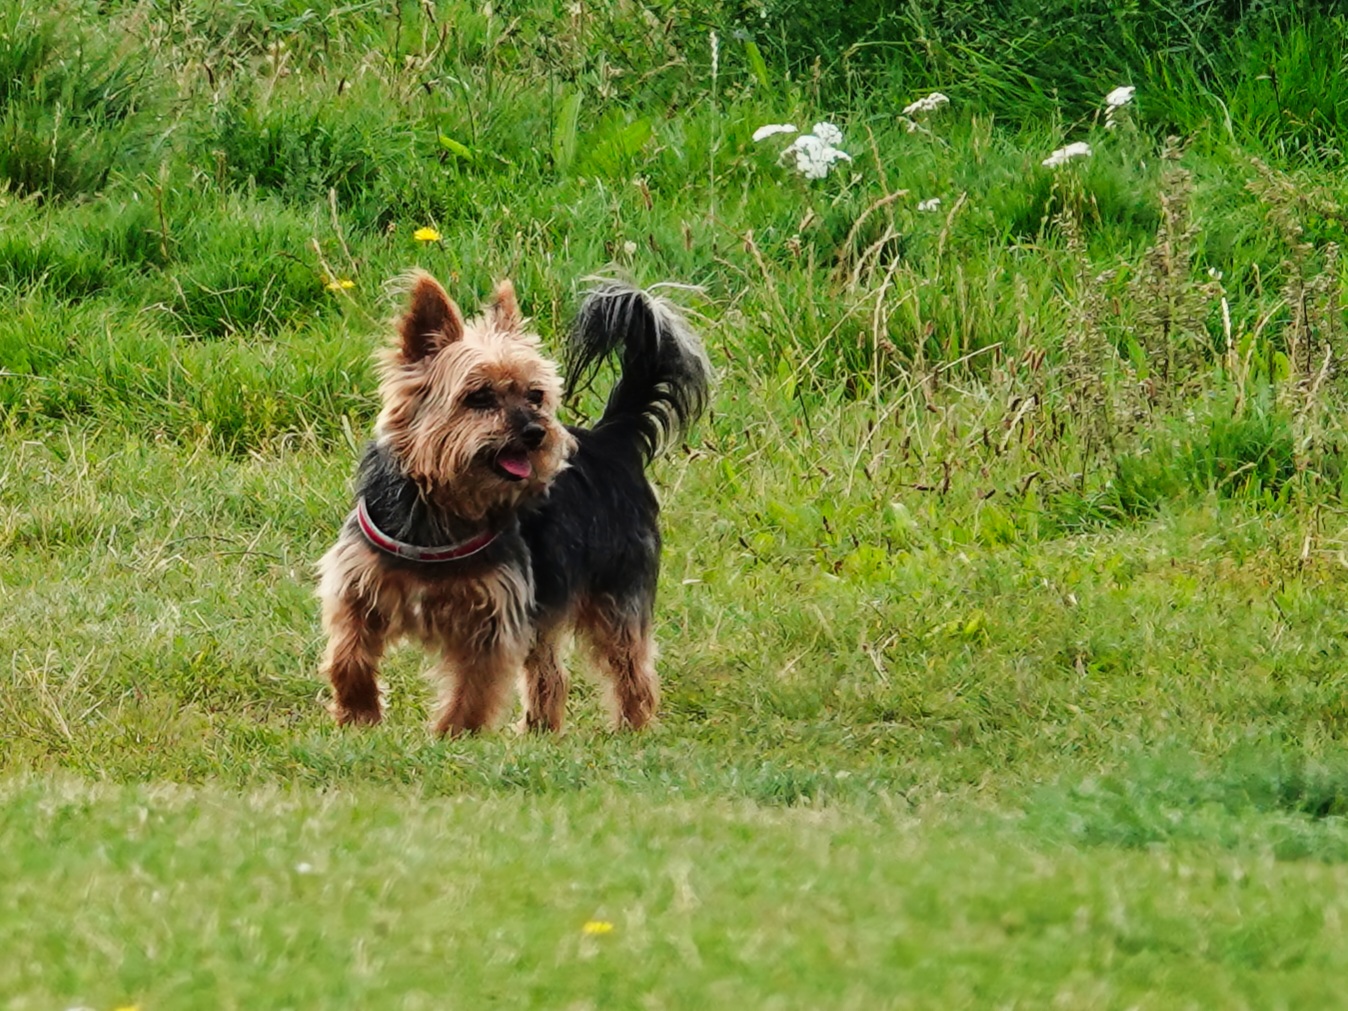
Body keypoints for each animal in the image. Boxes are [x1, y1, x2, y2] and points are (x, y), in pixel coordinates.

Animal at [315, 270, 711, 738]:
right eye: (479, 396)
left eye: (535, 395)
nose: (536, 432)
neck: (444, 506)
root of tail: (611, 440)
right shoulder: (359, 588)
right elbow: (349, 656)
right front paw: (359, 715)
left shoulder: (492, 615)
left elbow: (472, 688)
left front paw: (454, 737)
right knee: (550, 672)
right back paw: (540, 731)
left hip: (617, 590)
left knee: (630, 665)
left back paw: (631, 727)